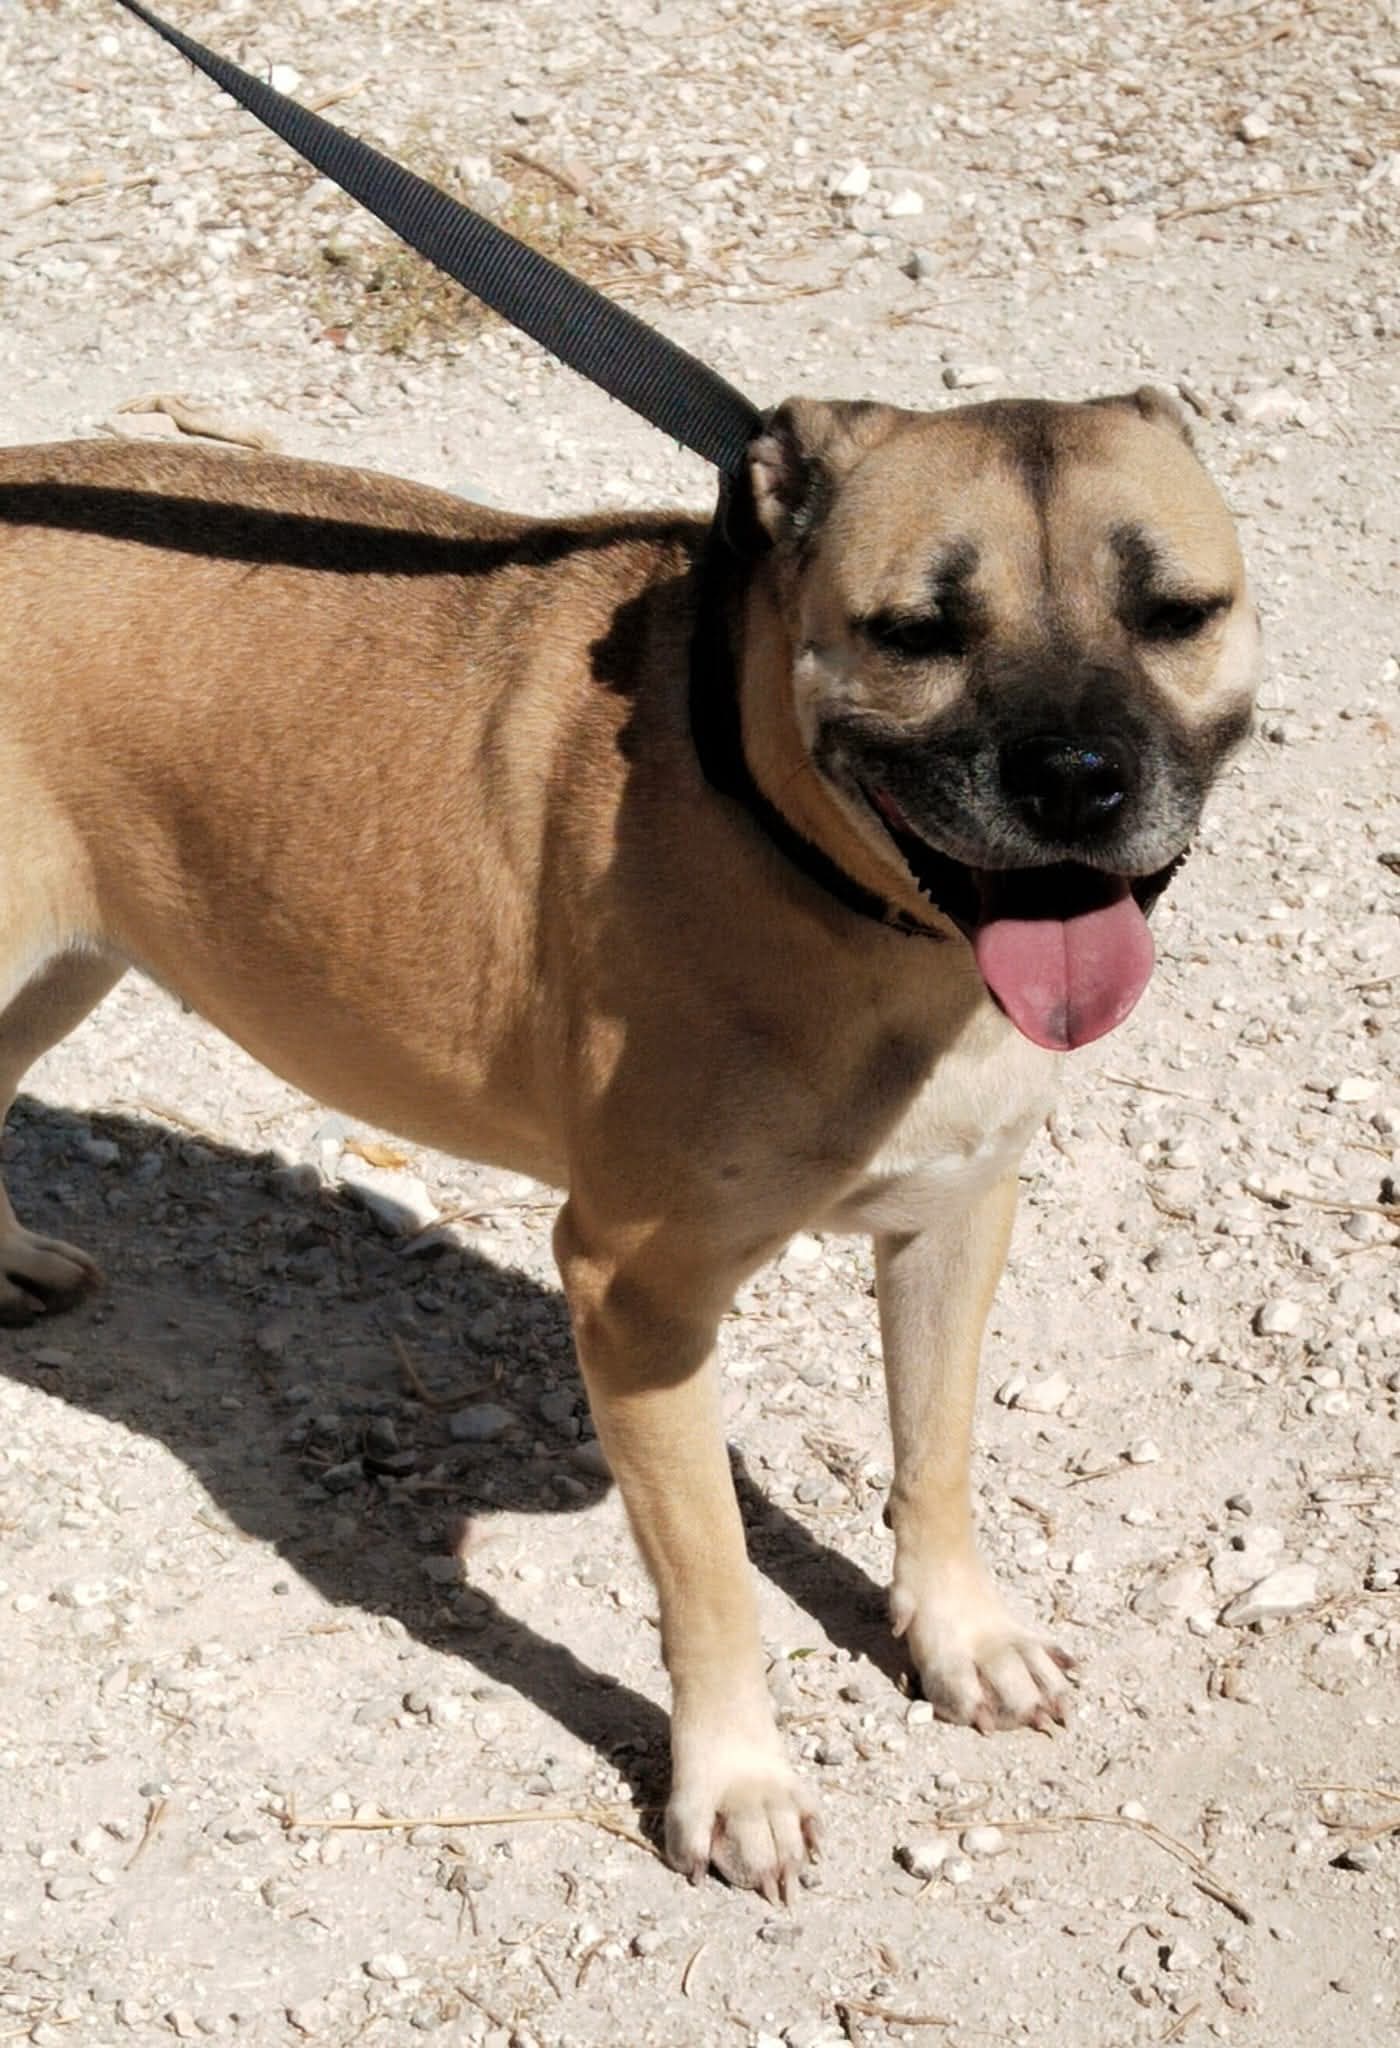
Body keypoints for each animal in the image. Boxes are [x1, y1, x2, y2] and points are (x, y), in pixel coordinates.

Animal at [0, 390, 1258, 1898]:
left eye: (1174, 612)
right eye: (917, 630)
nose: (1076, 779)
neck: (813, 870)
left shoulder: (954, 1216)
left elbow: (934, 1456)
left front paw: (960, 1635)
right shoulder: (637, 1300)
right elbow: (710, 1574)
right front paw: (735, 1780)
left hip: (59, 967)